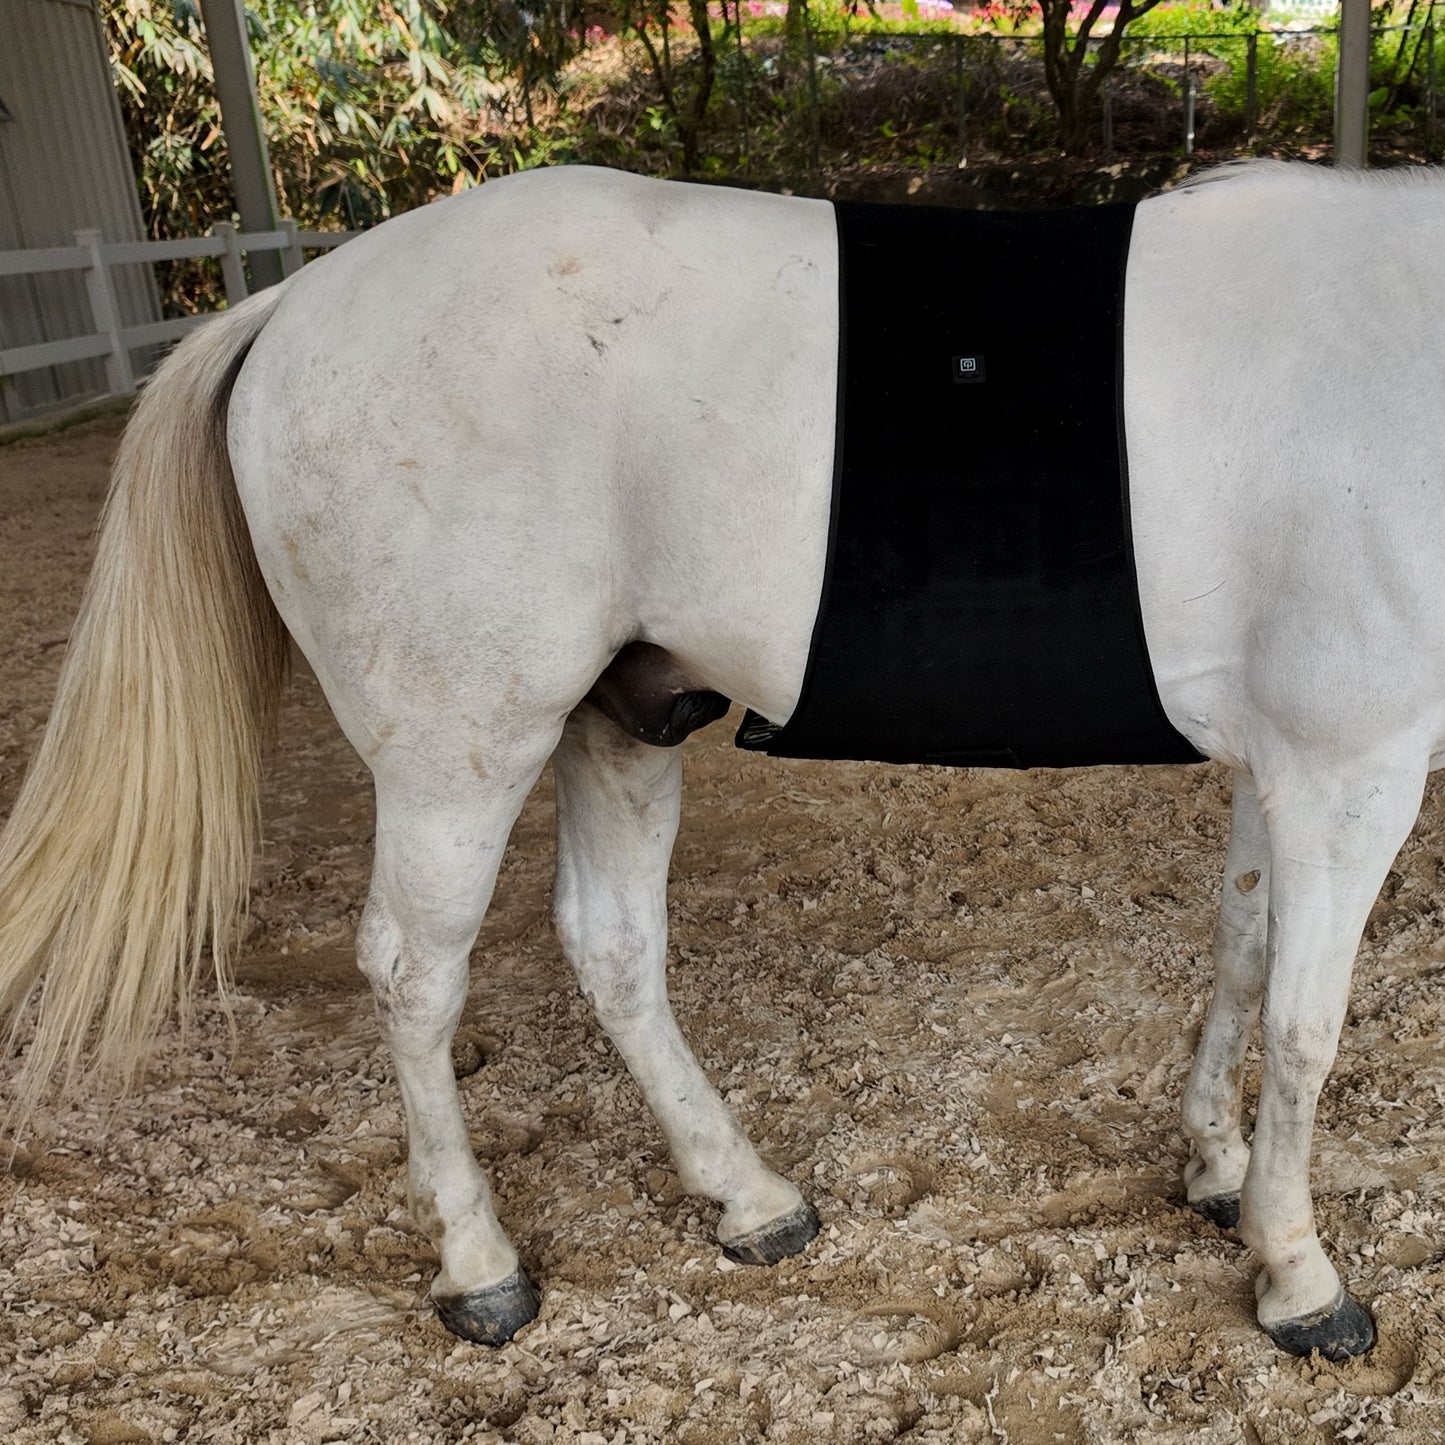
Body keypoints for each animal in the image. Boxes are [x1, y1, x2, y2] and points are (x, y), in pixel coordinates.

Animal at [1, 160, 1442, 1361]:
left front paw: (1214, 1170)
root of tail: (293, 301)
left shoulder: (1280, 763)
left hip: (615, 723)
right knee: (415, 975)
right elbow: (1305, 1021)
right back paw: (479, 1263)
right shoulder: (1348, 770)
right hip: (460, 755)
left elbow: (1240, 958)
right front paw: (1297, 1273)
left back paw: (745, 1195)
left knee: (611, 946)